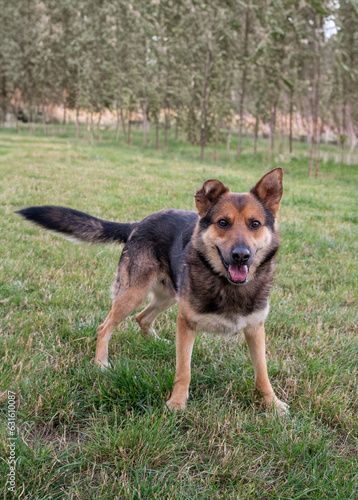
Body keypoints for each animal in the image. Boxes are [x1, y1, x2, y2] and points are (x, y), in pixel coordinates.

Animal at [18, 168, 290, 414]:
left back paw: (156, 342)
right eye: (223, 223)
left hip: (168, 295)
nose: (241, 256)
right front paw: (177, 403)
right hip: (133, 294)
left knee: (142, 317)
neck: (227, 285)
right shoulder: (186, 323)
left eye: (255, 224)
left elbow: (262, 373)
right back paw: (101, 363)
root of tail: (139, 223)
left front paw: (272, 403)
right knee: (105, 327)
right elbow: (184, 370)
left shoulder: (255, 329)